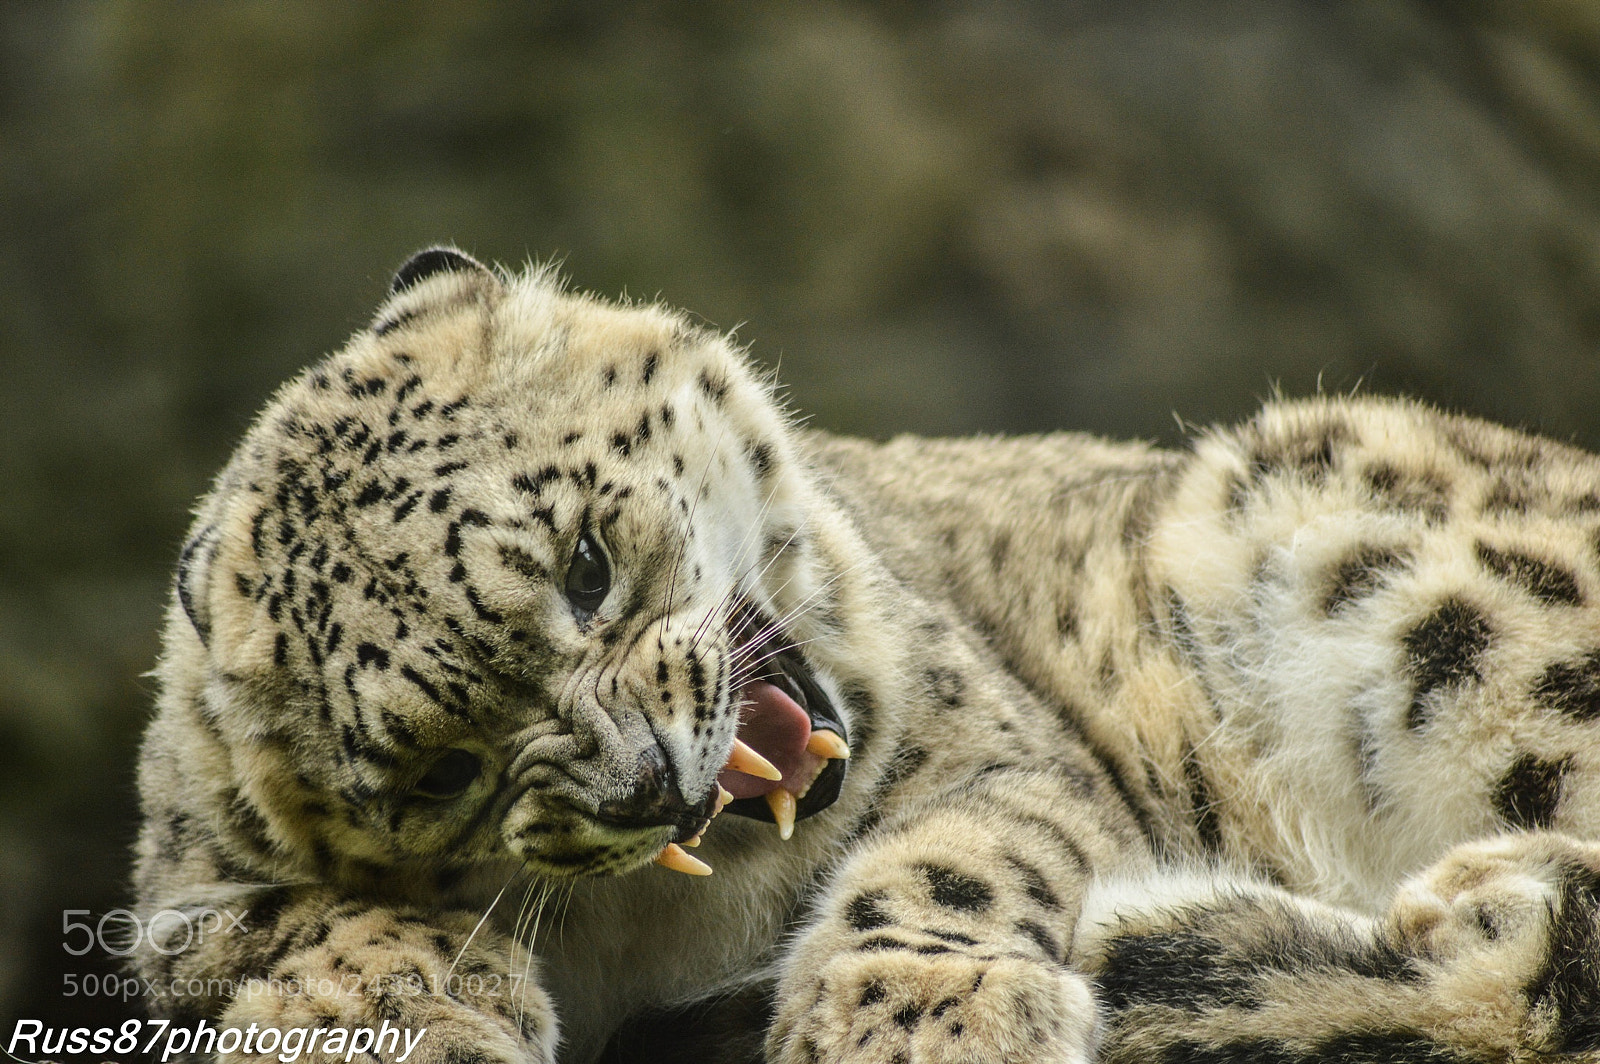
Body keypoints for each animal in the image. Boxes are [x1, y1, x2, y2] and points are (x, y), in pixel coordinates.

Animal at [134, 246, 1600, 1064]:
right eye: (439, 772)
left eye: (585, 564)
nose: (648, 784)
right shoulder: (184, 890)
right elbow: (318, 915)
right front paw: (395, 1020)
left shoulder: (998, 751)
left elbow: (956, 853)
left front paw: (915, 1019)